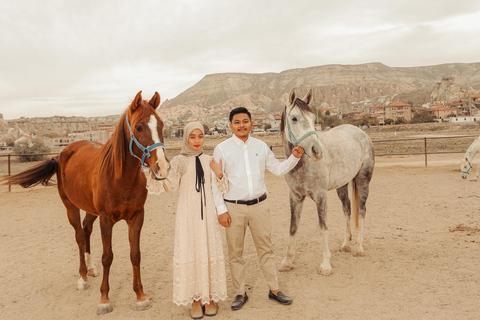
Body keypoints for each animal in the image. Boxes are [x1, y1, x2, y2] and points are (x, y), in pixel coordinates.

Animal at [2, 90, 169, 316]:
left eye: (161, 125)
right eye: (139, 127)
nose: (162, 166)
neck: (121, 178)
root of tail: (62, 153)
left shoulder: (137, 217)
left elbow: (135, 255)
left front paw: (140, 296)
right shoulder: (106, 219)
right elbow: (107, 256)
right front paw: (104, 299)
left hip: (91, 210)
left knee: (86, 229)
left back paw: (90, 269)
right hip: (70, 207)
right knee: (80, 236)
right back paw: (82, 277)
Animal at [278, 87, 376, 276]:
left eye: (313, 118)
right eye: (294, 118)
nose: (317, 151)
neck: (302, 165)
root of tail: (361, 133)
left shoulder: (321, 196)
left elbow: (323, 228)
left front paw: (325, 265)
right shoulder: (295, 196)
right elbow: (293, 227)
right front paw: (286, 261)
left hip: (363, 180)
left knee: (361, 210)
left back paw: (359, 247)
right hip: (342, 185)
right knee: (347, 209)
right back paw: (346, 244)